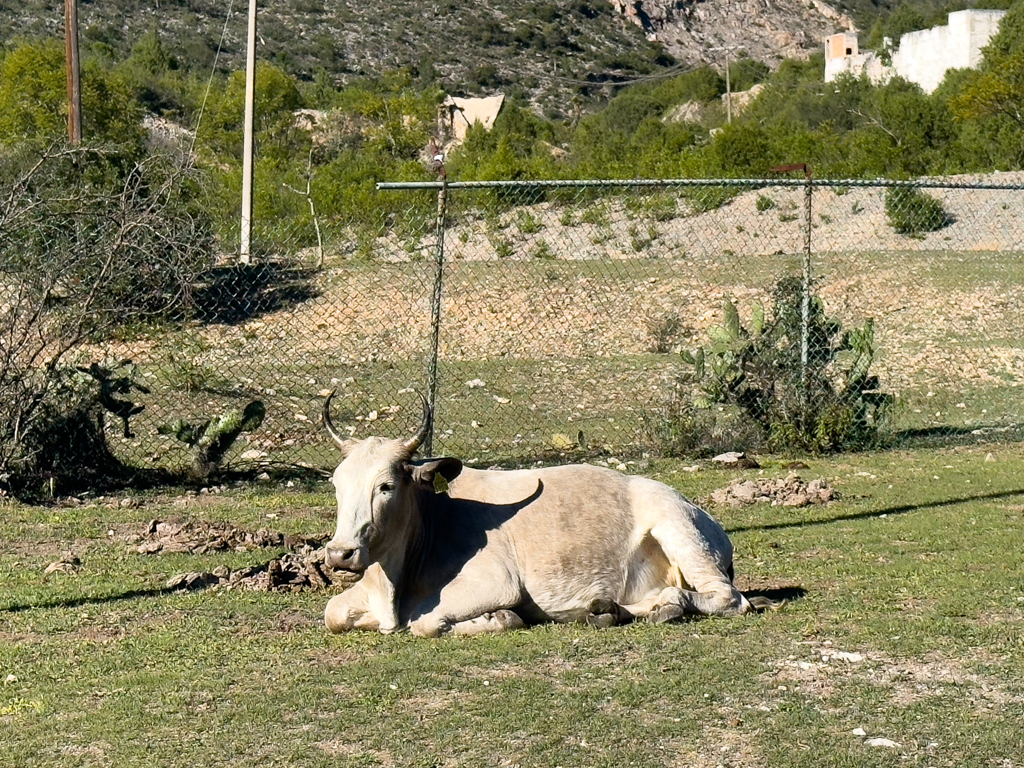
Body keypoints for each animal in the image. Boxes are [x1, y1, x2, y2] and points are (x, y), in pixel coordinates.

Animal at [319, 393, 774, 638]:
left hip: (679, 532)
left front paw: (499, 618)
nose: (340, 553)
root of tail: (705, 516)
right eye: (337, 484)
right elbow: (333, 614)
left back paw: (665, 604)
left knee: (729, 598)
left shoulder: (495, 583)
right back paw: (610, 611)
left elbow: (426, 622)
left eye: (385, 486)